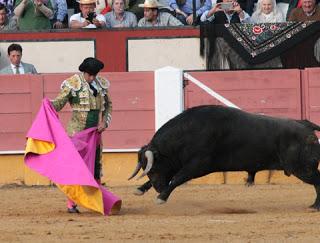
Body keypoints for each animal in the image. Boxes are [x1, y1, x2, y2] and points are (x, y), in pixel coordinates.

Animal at [129, 104, 320, 209]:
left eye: (154, 169)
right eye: (147, 170)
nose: (159, 188)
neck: (187, 133)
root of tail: (306, 125)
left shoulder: (197, 165)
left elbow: (177, 178)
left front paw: (161, 198)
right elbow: (174, 176)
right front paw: (140, 189)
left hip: (303, 169)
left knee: (317, 182)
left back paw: (316, 207)